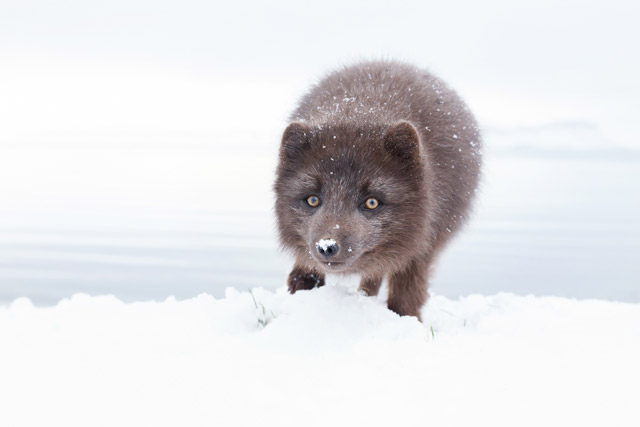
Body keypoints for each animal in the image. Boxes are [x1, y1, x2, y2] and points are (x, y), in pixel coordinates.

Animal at [273, 60, 481, 320]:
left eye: (371, 202)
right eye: (312, 200)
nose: (327, 246)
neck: (360, 107)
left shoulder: (423, 243)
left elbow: (406, 294)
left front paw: (406, 321)